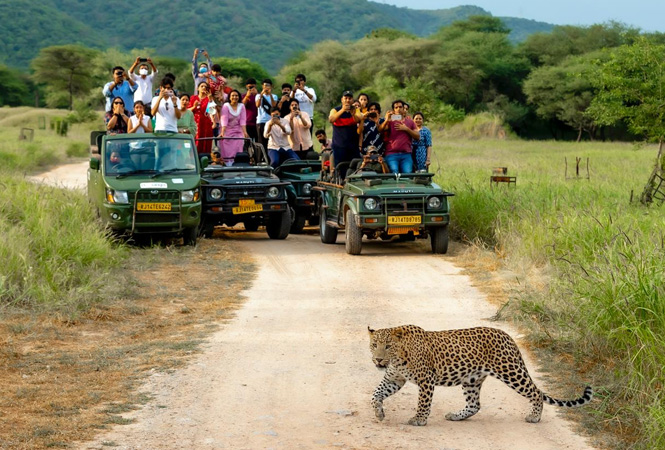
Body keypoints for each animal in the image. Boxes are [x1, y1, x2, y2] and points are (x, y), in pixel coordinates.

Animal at [368, 326, 592, 426]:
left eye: (387, 346)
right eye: (374, 345)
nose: (378, 360)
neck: (398, 357)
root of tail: (508, 336)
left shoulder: (426, 380)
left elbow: (423, 402)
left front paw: (419, 419)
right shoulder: (394, 379)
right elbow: (375, 394)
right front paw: (379, 413)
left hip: (511, 372)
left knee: (536, 392)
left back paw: (535, 417)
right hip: (471, 380)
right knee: (475, 404)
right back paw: (456, 416)